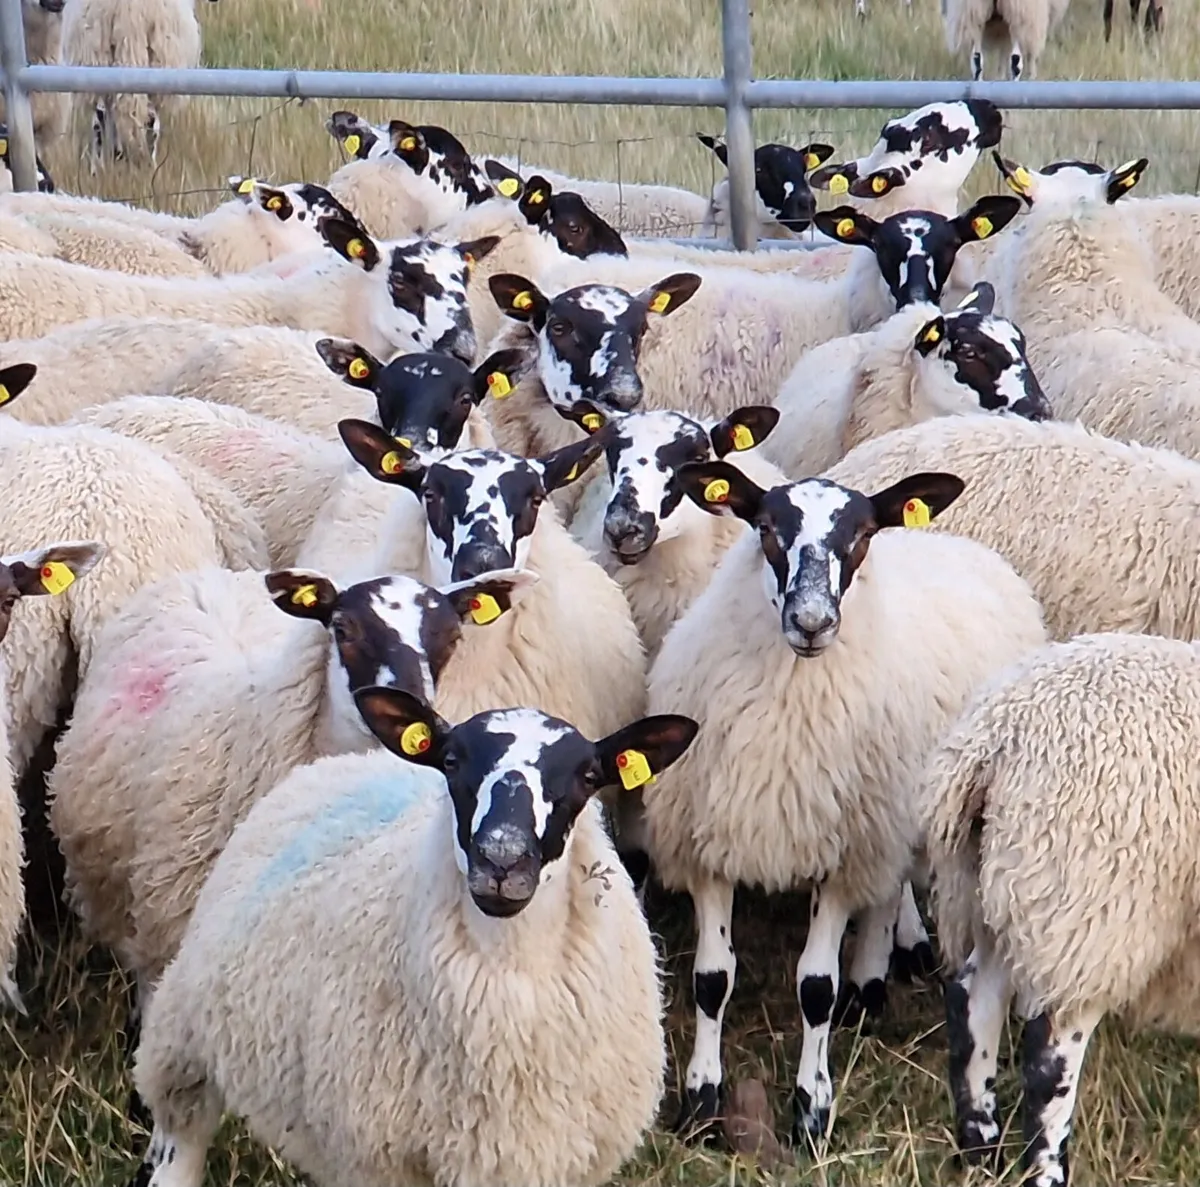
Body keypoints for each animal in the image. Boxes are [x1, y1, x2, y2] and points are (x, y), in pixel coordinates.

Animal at [131, 695, 699, 1187]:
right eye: (450, 760)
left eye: (587, 777)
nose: (502, 859)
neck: (510, 976)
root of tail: (357, 759)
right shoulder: (383, 1161)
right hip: (187, 1032)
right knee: (182, 1129)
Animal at [640, 462, 1047, 1145]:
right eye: (766, 527)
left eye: (859, 536)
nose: (811, 622)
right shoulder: (711, 842)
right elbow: (711, 980)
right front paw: (701, 1100)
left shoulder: (842, 852)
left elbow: (816, 988)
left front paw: (812, 1106)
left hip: (899, 810)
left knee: (888, 889)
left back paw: (876, 970)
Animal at [926, 632, 1197, 1187]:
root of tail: (991, 739)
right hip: (1087, 910)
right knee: (1048, 1054)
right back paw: (1045, 1168)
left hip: (1010, 888)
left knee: (972, 1003)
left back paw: (980, 1147)